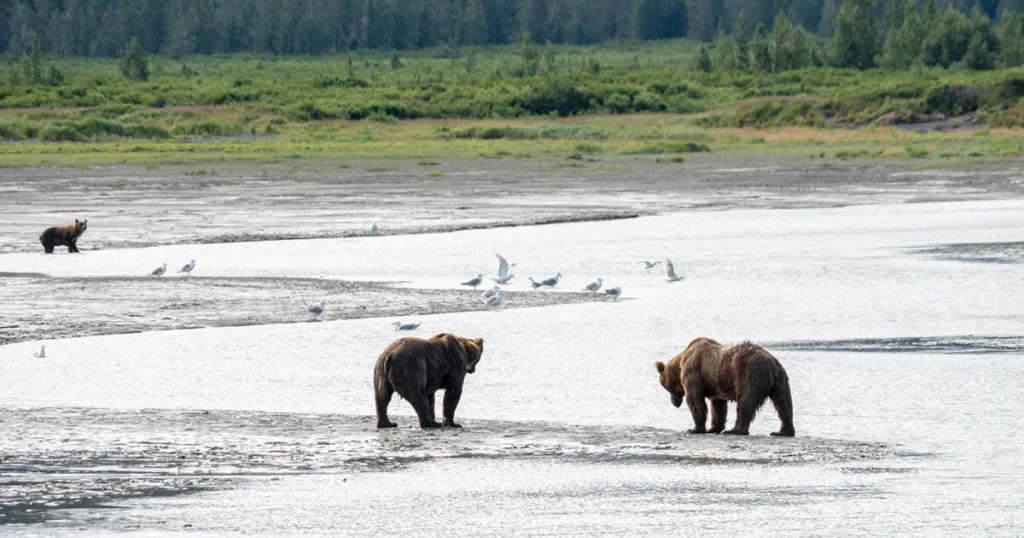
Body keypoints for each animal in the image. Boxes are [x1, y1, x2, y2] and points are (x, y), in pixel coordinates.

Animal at [655, 336, 790, 436]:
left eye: (666, 387)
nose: (674, 403)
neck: (681, 361)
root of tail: (771, 363)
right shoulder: (715, 383)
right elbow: (718, 406)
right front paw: (713, 428)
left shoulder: (693, 371)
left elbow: (695, 399)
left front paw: (694, 429)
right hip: (780, 379)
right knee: (783, 404)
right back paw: (782, 431)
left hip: (750, 374)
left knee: (746, 402)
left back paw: (735, 430)